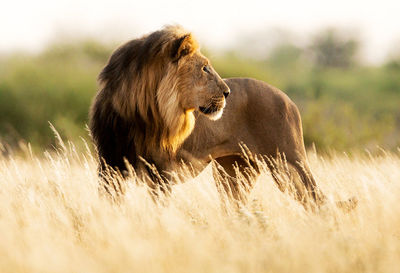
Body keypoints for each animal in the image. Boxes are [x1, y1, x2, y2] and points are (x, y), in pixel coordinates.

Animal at [90, 25, 356, 208]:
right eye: (204, 68)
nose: (227, 92)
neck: (139, 112)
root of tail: (288, 99)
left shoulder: (161, 172)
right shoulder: (109, 166)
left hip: (287, 163)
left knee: (318, 202)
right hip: (234, 174)